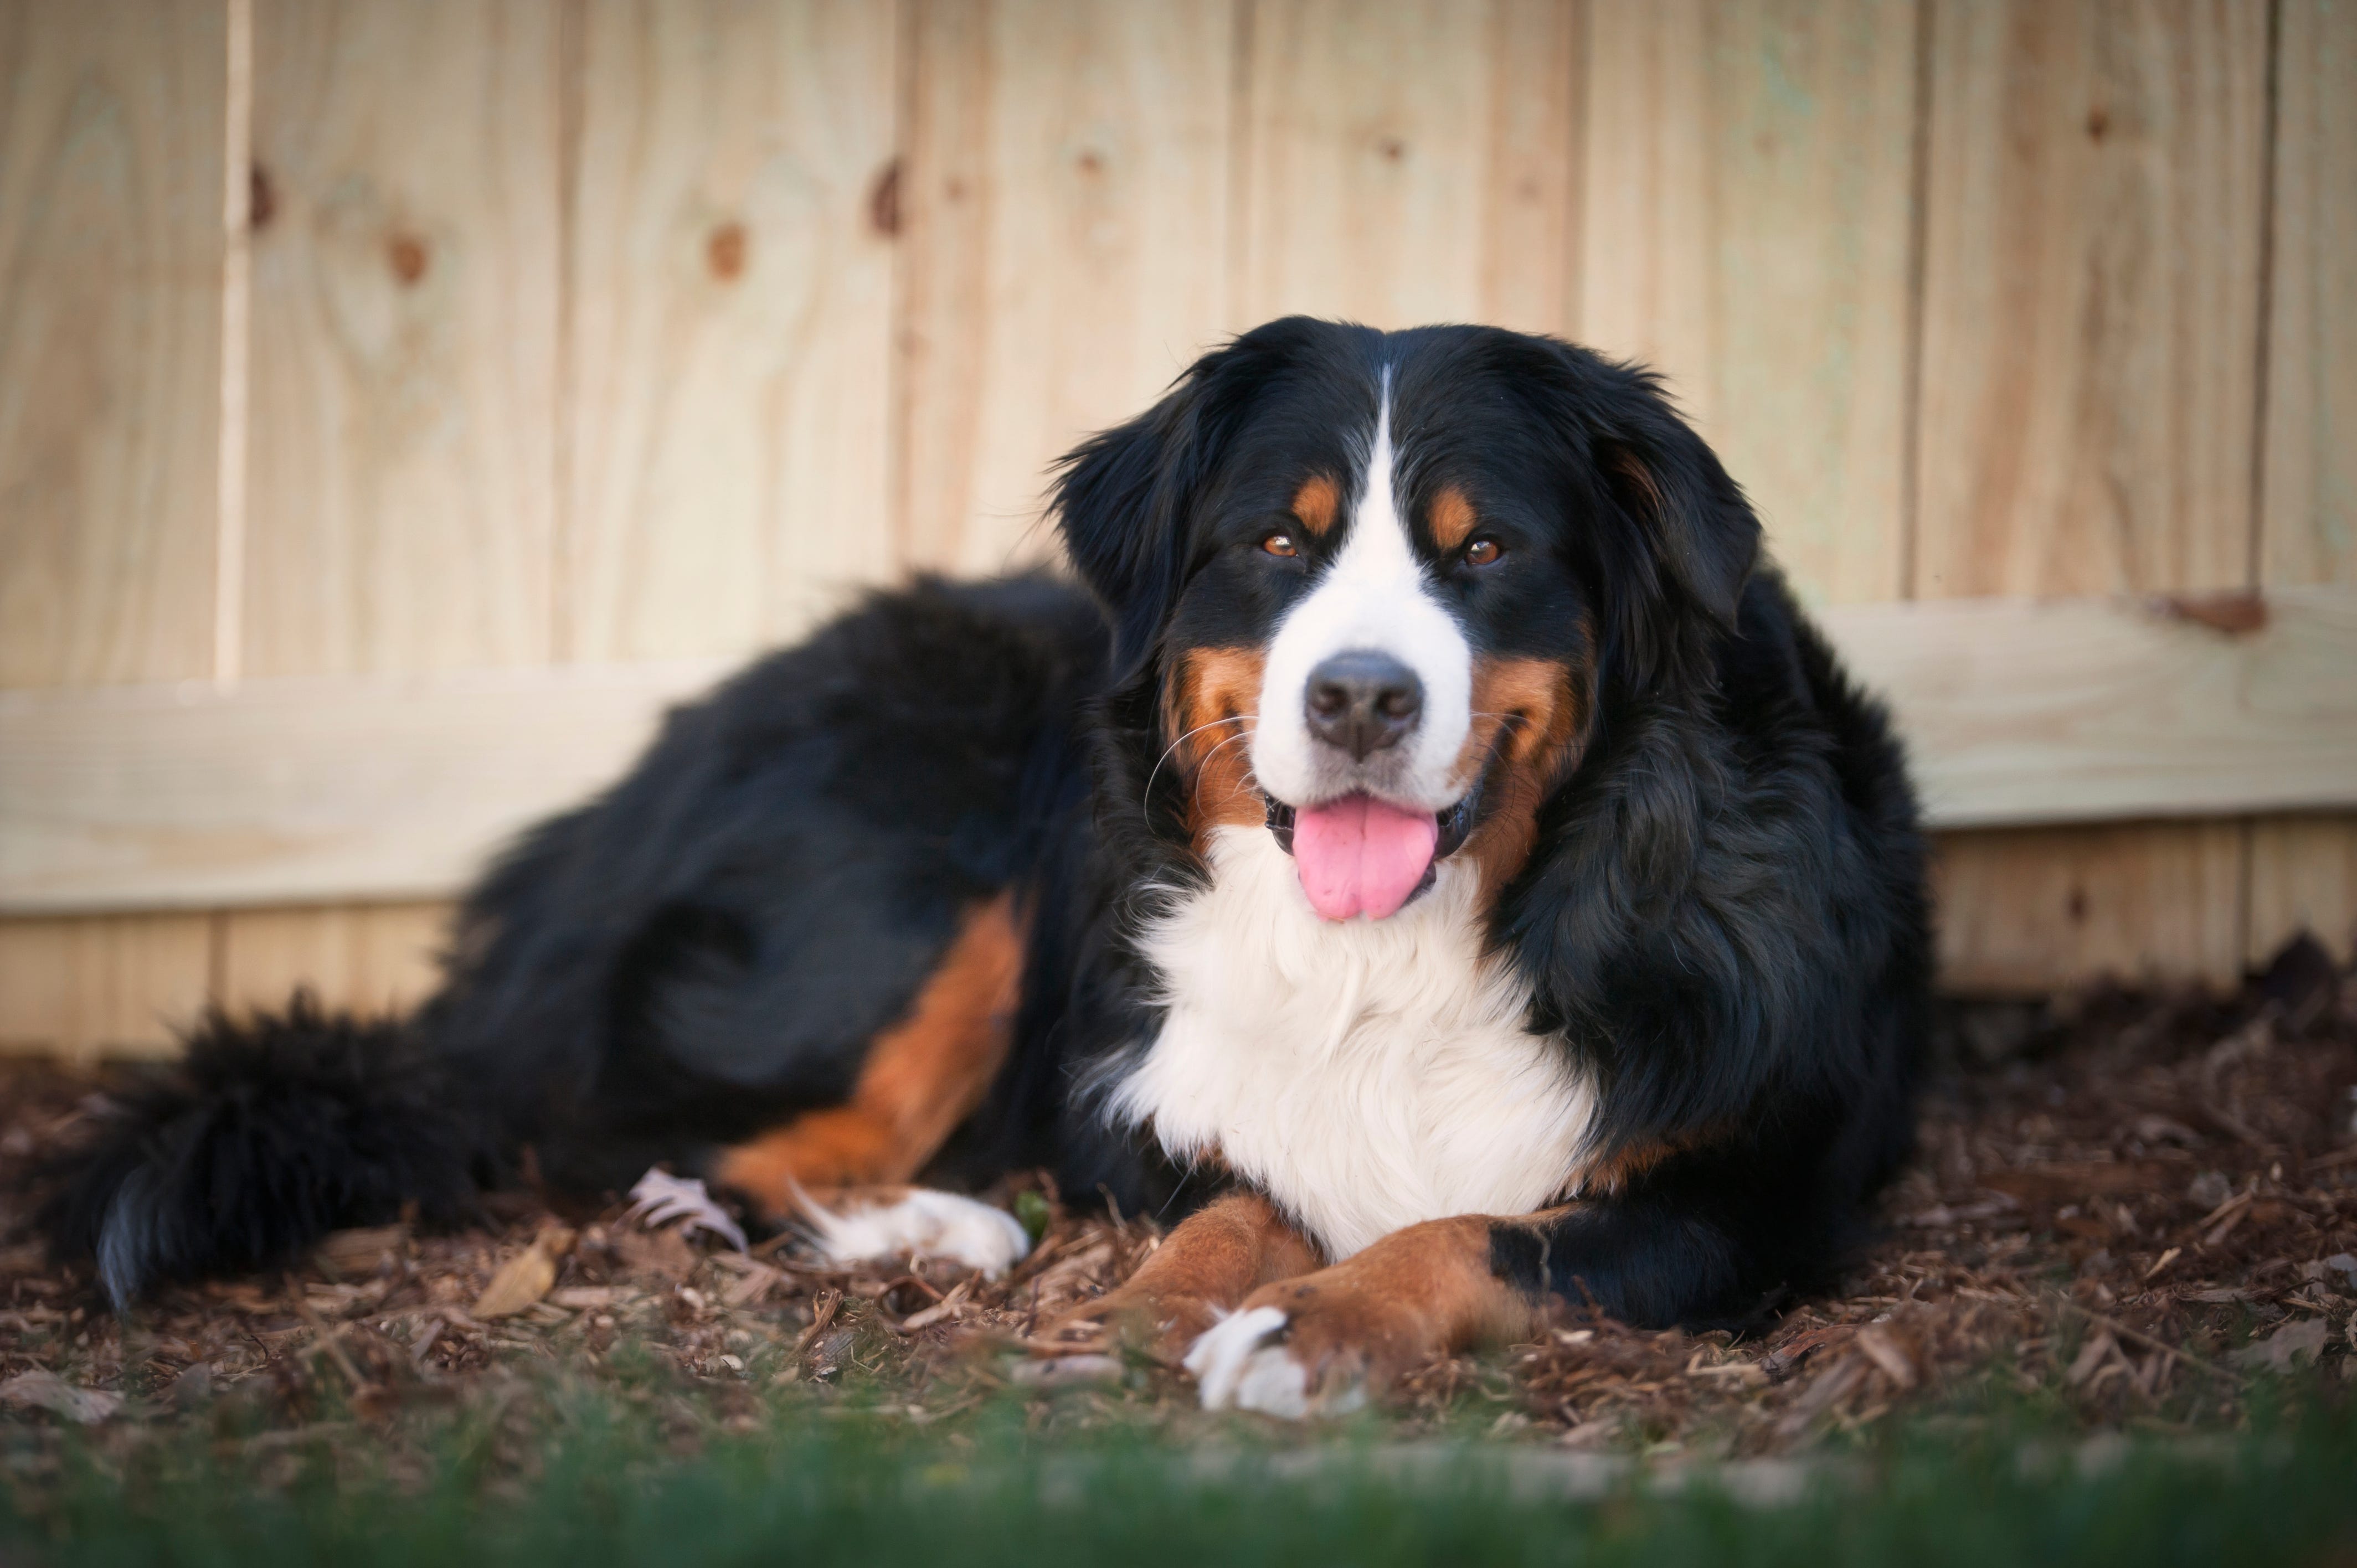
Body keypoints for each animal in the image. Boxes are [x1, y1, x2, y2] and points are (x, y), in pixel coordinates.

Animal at [37, 318, 1923, 1415]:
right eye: (1277, 541)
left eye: (1486, 552)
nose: (1360, 696)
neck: (1397, 953)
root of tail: (596, 810)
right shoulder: (1149, 1093)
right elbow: (1234, 1199)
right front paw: (1146, 1306)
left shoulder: (1748, 1186)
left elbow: (1470, 1230)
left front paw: (1304, 1326)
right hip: (935, 855)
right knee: (648, 1139)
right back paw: (940, 1221)